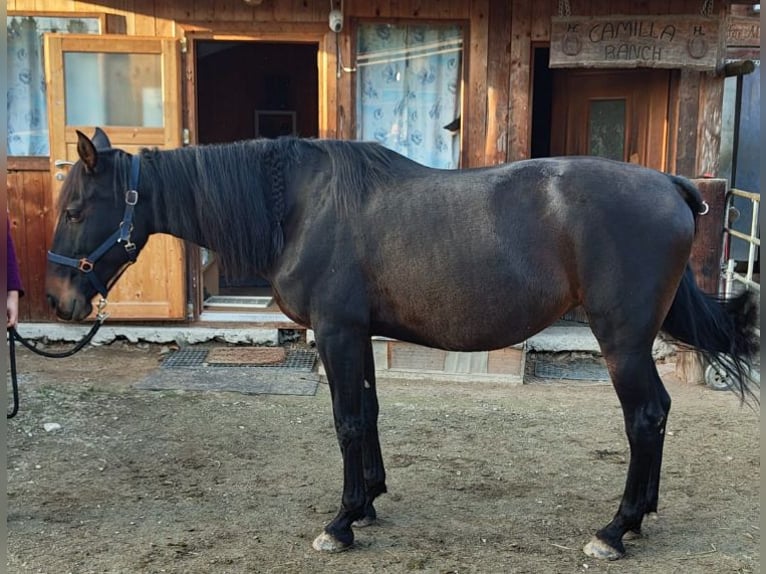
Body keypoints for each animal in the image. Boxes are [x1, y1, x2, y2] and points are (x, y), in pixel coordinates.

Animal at [45, 127, 760, 564]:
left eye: (76, 210)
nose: (59, 301)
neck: (299, 207)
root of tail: (672, 185)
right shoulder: (356, 334)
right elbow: (368, 415)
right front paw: (365, 504)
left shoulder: (335, 331)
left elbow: (346, 420)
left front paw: (339, 523)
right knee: (656, 417)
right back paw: (638, 518)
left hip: (623, 341)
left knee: (646, 417)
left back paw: (616, 530)